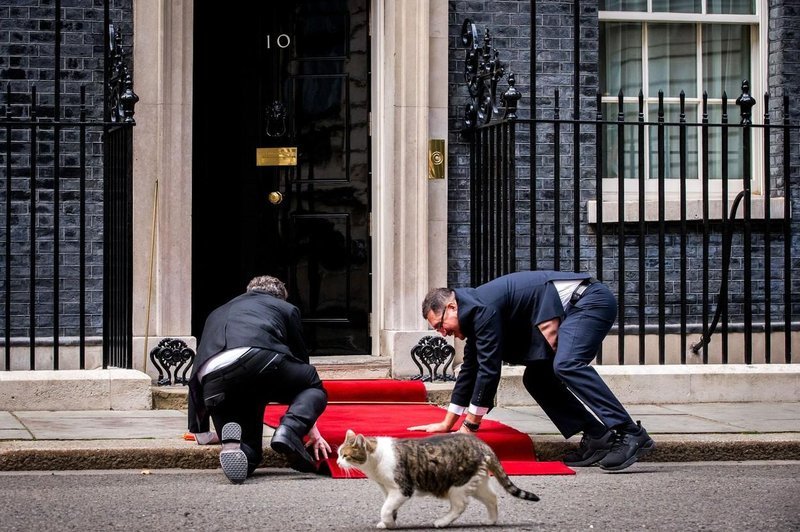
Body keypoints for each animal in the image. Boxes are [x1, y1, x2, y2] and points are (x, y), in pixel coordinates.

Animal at [334, 430, 540, 528]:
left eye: (345, 455)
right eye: (337, 454)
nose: (336, 462)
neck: (375, 462)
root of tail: (482, 444)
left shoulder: (402, 489)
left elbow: (385, 509)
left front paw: (389, 523)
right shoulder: (388, 490)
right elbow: (389, 508)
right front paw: (388, 522)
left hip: (457, 485)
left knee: (460, 505)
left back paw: (442, 522)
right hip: (476, 482)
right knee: (492, 497)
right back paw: (491, 520)